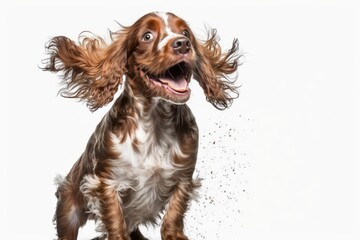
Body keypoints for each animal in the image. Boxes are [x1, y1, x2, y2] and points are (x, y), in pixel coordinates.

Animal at [43, 11, 240, 240]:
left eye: (185, 33)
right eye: (147, 36)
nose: (183, 44)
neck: (155, 120)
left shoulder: (183, 178)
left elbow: (174, 213)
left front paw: (175, 234)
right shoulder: (107, 182)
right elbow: (115, 221)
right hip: (68, 209)